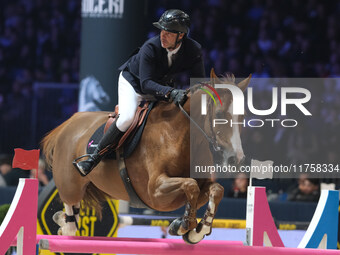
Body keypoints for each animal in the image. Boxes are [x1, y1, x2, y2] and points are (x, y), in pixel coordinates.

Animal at [41, 69, 251, 243]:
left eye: (242, 116)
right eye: (220, 114)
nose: (236, 158)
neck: (183, 136)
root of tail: (69, 122)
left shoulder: (199, 184)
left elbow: (216, 189)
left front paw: (196, 231)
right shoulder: (155, 191)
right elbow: (190, 185)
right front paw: (184, 226)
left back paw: (60, 219)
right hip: (71, 184)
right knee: (70, 215)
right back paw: (64, 222)